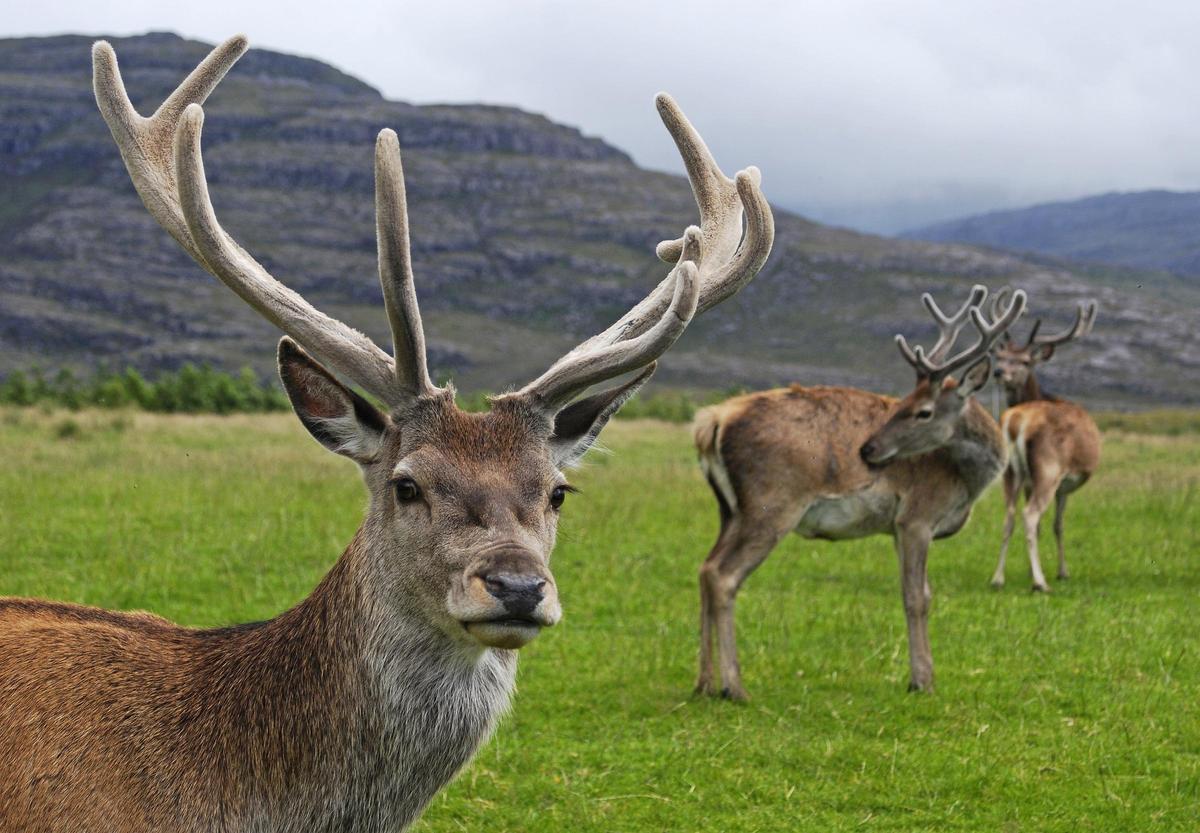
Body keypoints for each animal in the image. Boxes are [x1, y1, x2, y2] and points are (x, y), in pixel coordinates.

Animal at [696, 286, 1022, 696]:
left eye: (923, 410)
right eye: (902, 403)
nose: (867, 449)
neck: (964, 481)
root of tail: (712, 422)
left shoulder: (898, 527)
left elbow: (922, 591)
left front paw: (923, 675)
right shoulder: (917, 516)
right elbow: (916, 597)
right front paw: (922, 680)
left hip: (729, 509)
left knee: (705, 567)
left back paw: (704, 683)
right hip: (771, 504)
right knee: (723, 575)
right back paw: (734, 687)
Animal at [988, 294, 1099, 592]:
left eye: (1025, 361)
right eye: (1000, 357)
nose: (998, 372)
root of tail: (1017, 421)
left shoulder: (1029, 481)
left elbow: (1043, 527)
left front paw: (1029, 569)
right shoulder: (1064, 484)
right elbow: (1058, 525)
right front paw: (1062, 571)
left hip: (1010, 472)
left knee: (1009, 516)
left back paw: (998, 578)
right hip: (1048, 468)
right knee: (1029, 515)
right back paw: (1040, 583)